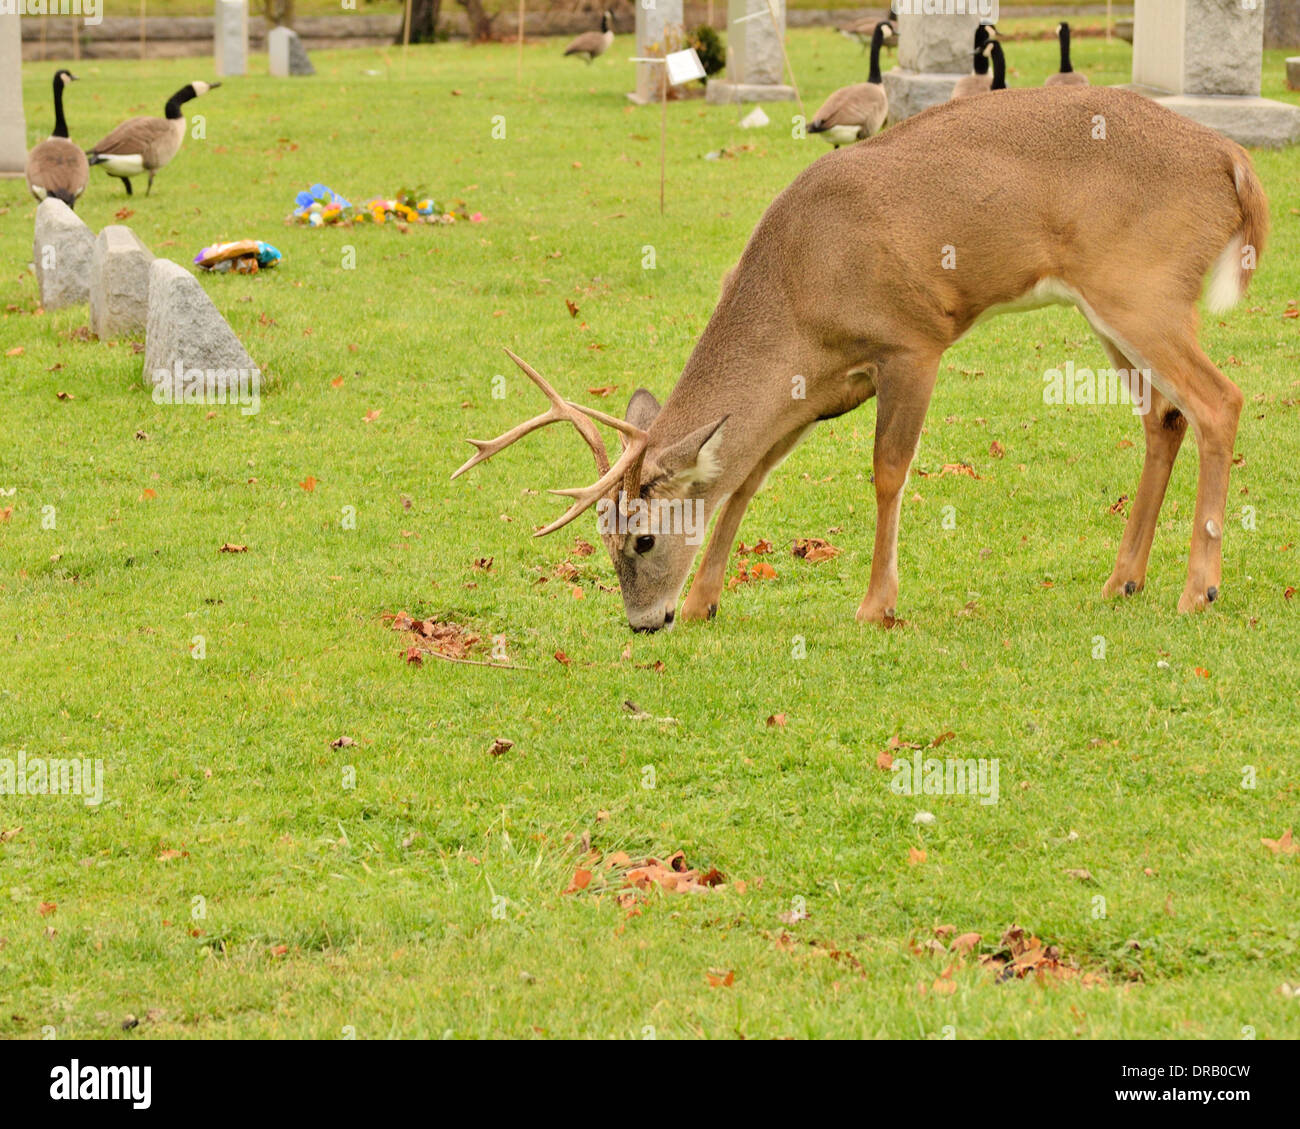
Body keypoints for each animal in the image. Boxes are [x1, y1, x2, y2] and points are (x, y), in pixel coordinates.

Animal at [452, 85, 1263, 634]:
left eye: (644, 536)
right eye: (602, 539)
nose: (645, 622)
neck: (799, 293)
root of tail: (1234, 161)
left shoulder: (911, 341)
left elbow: (887, 472)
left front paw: (876, 604)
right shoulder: (819, 388)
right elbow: (745, 479)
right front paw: (708, 599)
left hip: (1143, 290)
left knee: (1219, 399)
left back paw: (1198, 589)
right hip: (1113, 309)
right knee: (1165, 415)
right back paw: (1121, 581)